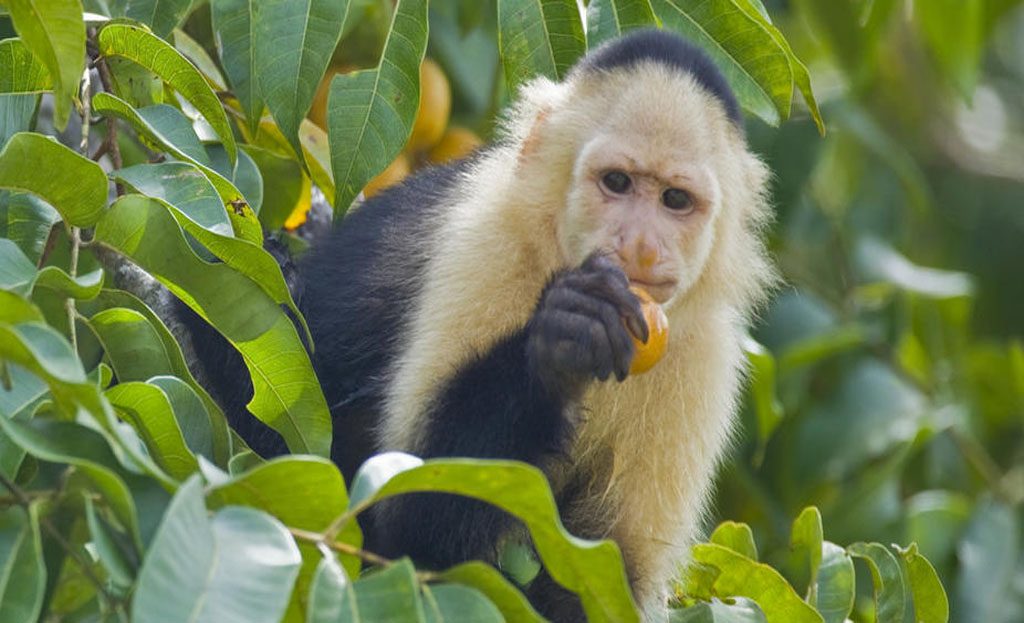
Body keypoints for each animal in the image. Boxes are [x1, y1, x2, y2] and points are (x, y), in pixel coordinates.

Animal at [176, 29, 775, 621]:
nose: (642, 247)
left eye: (675, 199)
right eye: (617, 182)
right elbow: (406, 525)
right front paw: (560, 346)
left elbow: (605, 578)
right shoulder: (486, 242)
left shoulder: (703, 355)